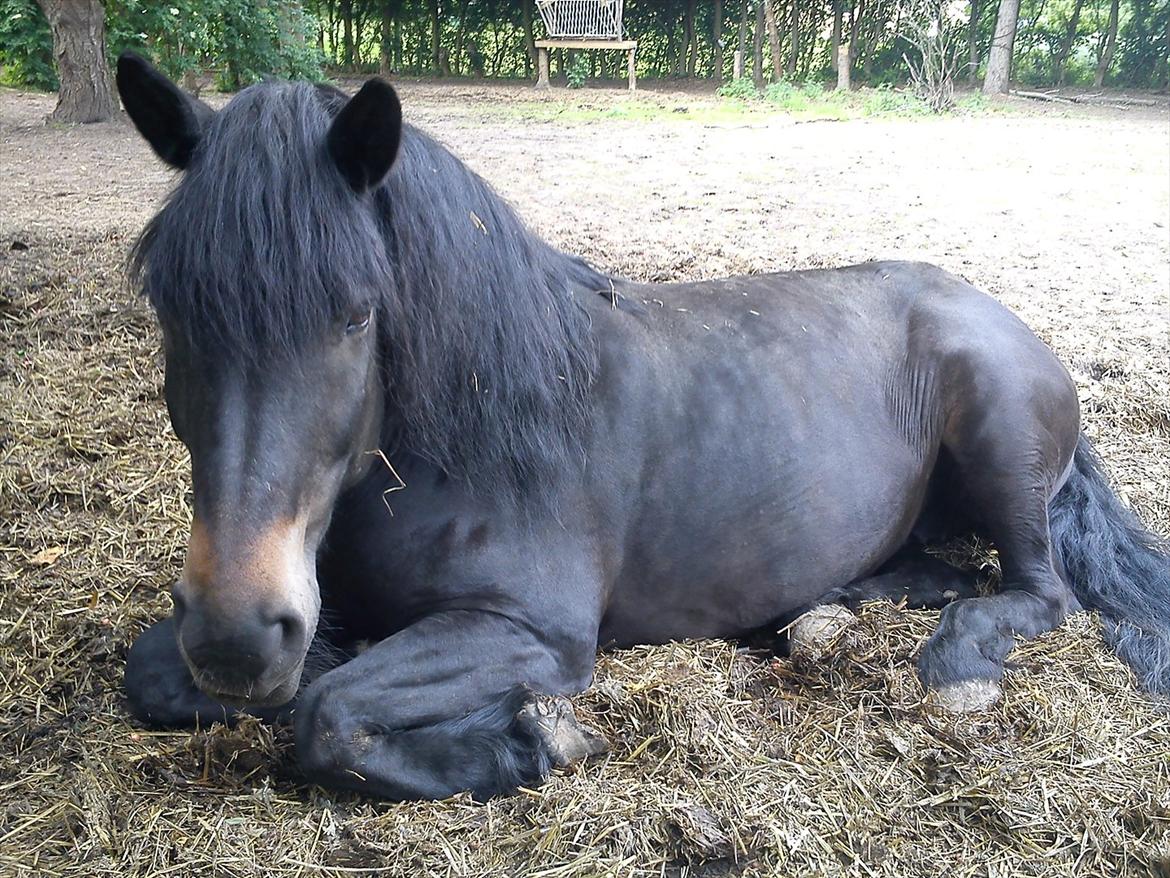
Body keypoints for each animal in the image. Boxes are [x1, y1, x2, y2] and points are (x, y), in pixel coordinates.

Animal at [116, 53, 1170, 805]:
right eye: (171, 307)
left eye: (355, 314)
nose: (238, 637)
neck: (468, 444)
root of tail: (999, 316)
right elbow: (160, 674)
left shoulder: (532, 632)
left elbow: (326, 714)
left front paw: (530, 742)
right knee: (937, 572)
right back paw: (828, 611)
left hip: (997, 440)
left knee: (1038, 591)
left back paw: (957, 667)